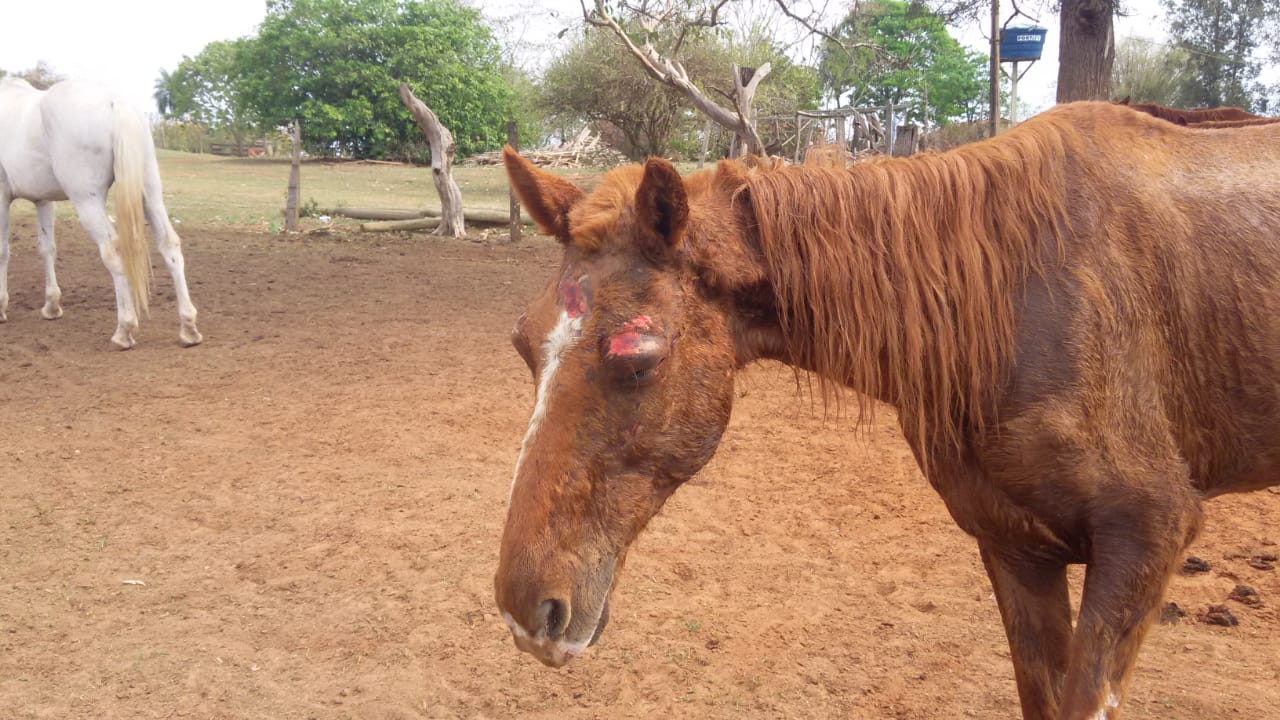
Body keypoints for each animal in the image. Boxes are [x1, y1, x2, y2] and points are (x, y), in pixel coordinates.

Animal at [0, 77, 200, 345]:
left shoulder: (2, 196)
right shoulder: (43, 200)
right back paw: (188, 327)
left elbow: (3, 251)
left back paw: (124, 329)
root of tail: (114, 104)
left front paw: (1, 307)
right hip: (150, 193)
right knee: (169, 245)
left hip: (87, 201)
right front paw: (51, 306)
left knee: (113, 251)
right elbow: (47, 249)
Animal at [491, 102, 1280, 717]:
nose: (527, 610)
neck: (1013, 296)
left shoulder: (1148, 535)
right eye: (523, 343)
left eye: (637, 359)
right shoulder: (1016, 547)